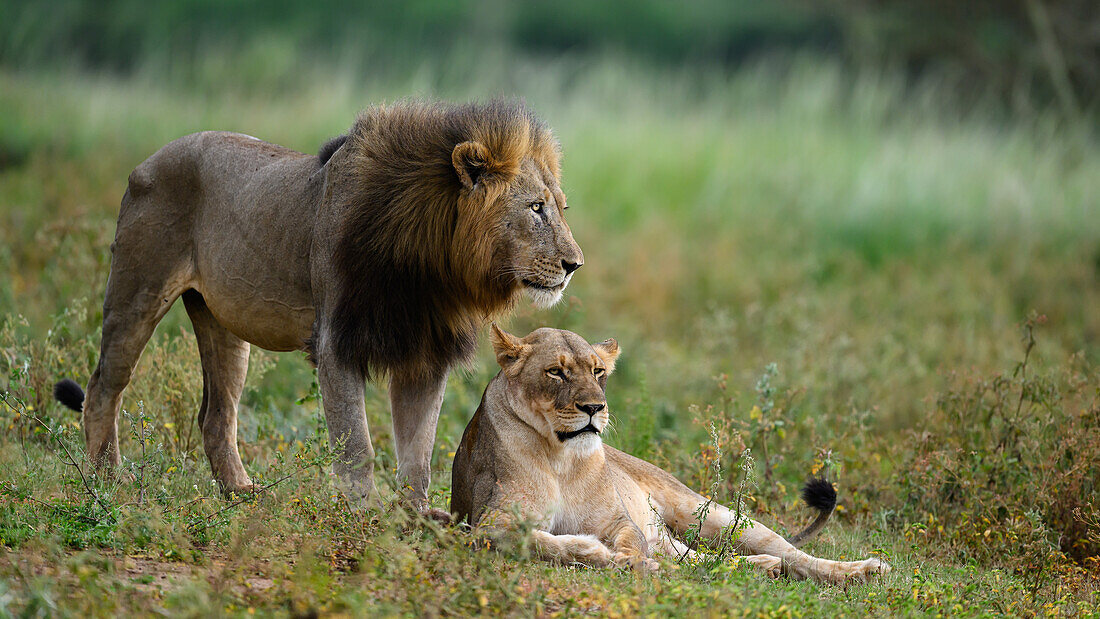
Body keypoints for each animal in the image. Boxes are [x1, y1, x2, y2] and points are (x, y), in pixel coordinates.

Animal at [54, 100, 580, 514]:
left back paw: (242, 494)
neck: (432, 265)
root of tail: (149, 159)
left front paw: (416, 518)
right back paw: (109, 482)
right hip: (137, 293)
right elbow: (357, 445)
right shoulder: (336, 343)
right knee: (104, 386)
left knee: (216, 415)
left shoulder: (425, 356)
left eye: (559, 207)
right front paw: (365, 515)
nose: (574, 264)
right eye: (536, 208)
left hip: (223, 325)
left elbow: (419, 453)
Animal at [455, 327, 893, 584]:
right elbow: (538, 541)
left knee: (790, 553)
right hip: (675, 539)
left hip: (713, 515)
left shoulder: (619, 520)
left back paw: (864, 570)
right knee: (698, 562)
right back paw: (761, 568)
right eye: (556, 372)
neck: (561, 457)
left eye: (598, 372)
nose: (595, 407)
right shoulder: (487, 523)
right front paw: (600, 554)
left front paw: (625, 559)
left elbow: (629, 542)